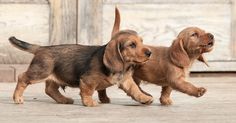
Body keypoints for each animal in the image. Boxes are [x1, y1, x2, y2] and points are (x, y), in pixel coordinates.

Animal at [8, 9, 153, 106]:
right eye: (132, 45)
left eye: (141, 41)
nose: (150, 53)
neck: (123, 66)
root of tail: (41, 48)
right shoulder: (88, 80)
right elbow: (87, 91)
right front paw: (89, 102)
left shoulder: (126, 80)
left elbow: (135, 90)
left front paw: (145, 98)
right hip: (40, 72)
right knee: (22, 78)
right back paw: (17, 98)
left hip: (55, 76)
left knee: (50, 89)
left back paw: (64, 100)